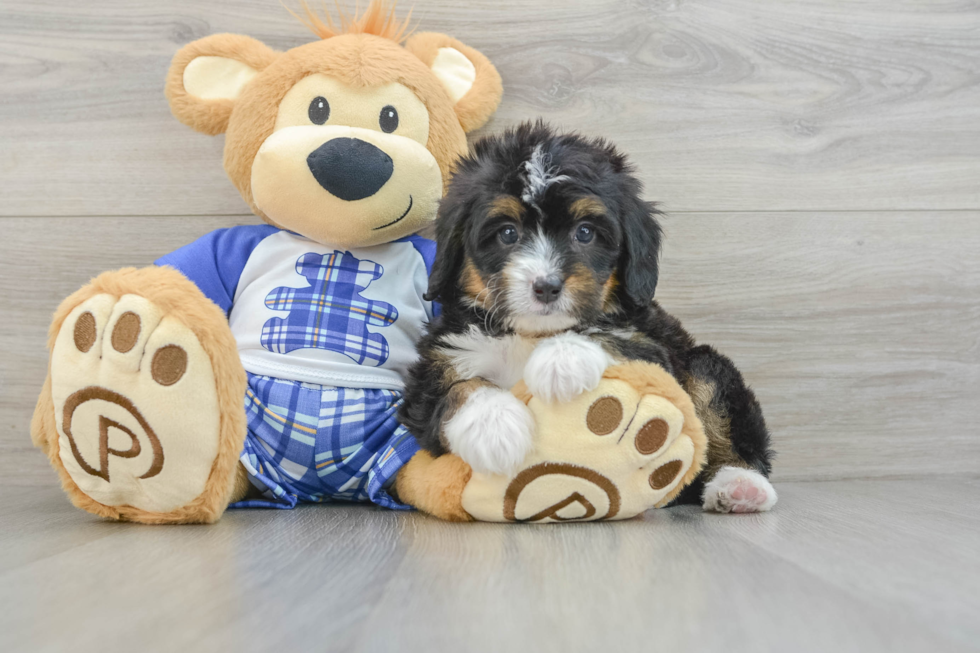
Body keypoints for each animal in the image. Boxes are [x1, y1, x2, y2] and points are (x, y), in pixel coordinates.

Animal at [398, 121, 772, 510]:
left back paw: (741, 485)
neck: (531, 334)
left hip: (703, 365)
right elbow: (456, 390)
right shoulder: (434, 368)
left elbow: (606, 336)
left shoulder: (654, 347)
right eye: (507, 232)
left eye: (585, 232)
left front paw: (560, 362)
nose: (546, 286)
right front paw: (497, 427)